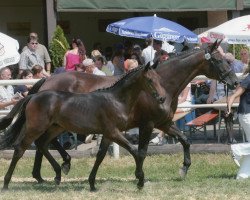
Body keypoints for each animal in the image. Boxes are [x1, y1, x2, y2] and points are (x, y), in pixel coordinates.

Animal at [0, 64, 167, 191]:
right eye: (150, 80)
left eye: (159, 79)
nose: (162, 98)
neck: (116, 100)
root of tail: (32, 96)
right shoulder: (113, 132)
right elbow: (136, 152)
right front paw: (140, 180)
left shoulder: (108, 134)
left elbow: (100, 155)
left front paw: (92, 184)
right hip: (36, 128)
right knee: (20, 148)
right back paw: (7, 183)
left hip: (55, 127)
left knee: (42, 144)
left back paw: (59, 173)